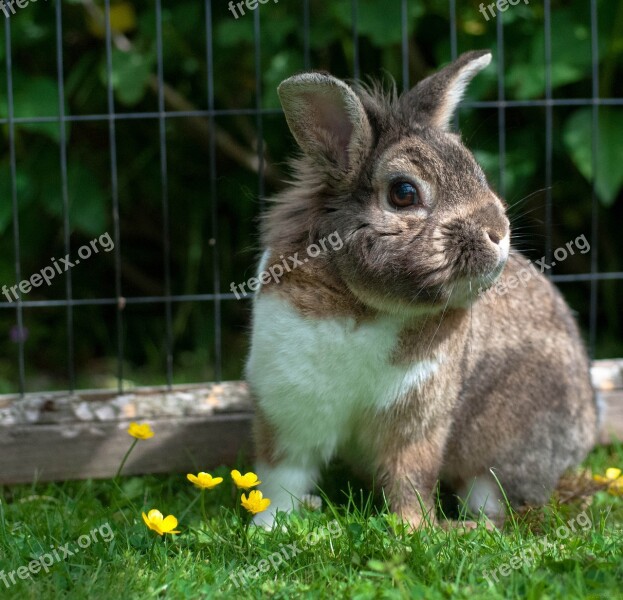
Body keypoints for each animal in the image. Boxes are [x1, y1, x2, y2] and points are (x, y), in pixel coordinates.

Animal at [245, 51, 600, 528]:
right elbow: (281, 475)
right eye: (403, 192)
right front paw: (267, 527)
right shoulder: (288, 411)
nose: (498, 232)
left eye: (477, 171)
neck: (367, 307)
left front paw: (414, 528)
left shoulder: (419, 423)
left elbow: (409, 478)